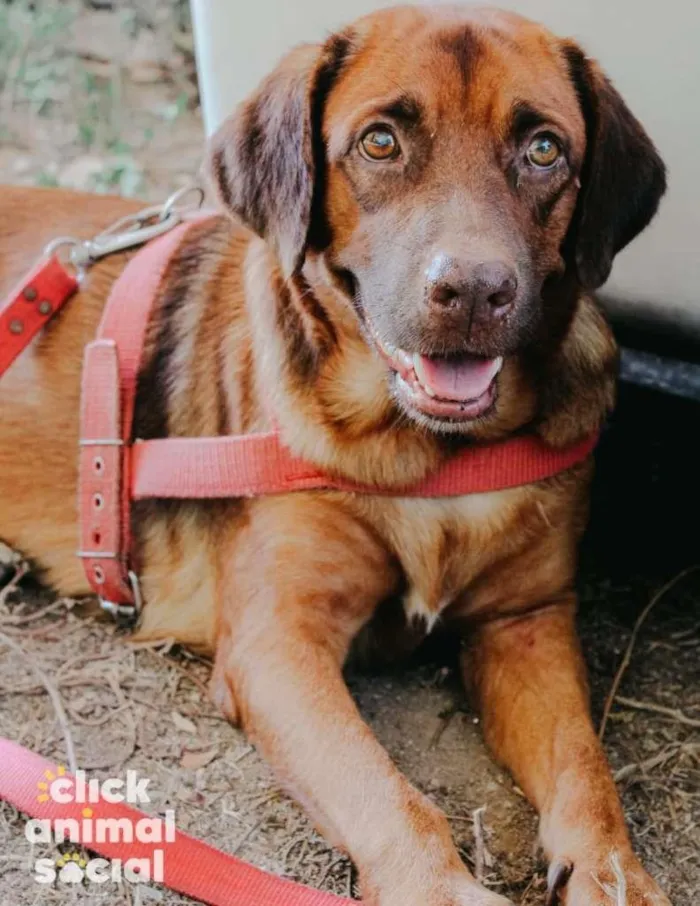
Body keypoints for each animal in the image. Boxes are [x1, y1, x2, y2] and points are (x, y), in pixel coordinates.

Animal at [0, 7, 668, 904]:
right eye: (380, 142)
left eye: (544, 150)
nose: (473, 293)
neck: (430, 454)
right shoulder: (277, 648)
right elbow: (386, 793)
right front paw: (441, 888)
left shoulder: (526, 623)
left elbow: (585, 770)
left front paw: (614, 874)